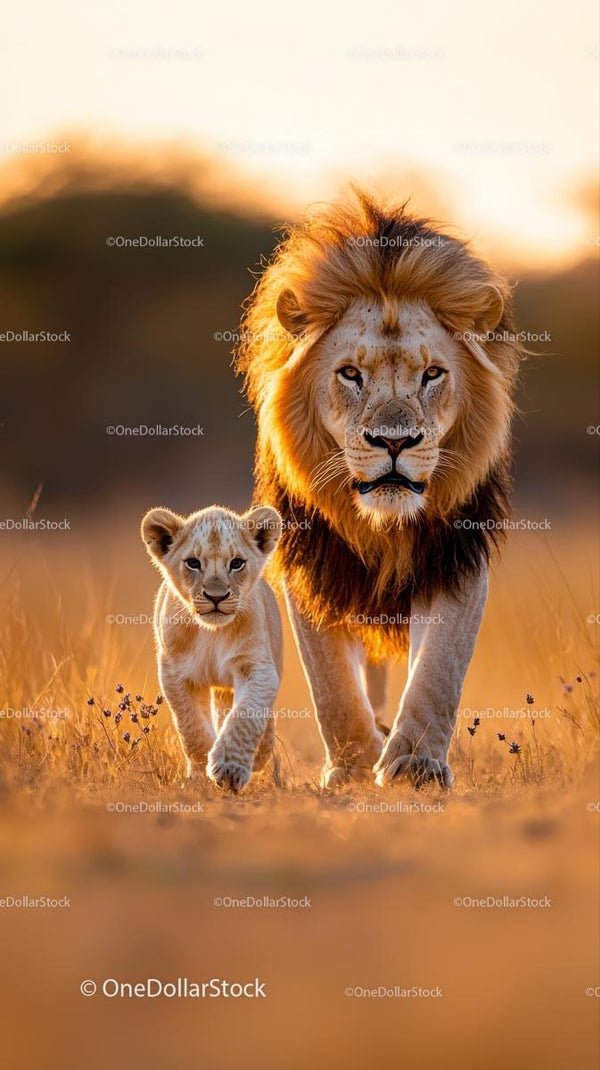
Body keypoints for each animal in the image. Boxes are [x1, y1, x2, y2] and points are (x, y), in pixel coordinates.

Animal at [141, 504, 283, 791]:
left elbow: (247, 713)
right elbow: (191, 726)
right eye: (193, 563)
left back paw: (261, 752)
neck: (212, 632)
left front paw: (230, 768)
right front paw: (201, 769)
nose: (216, 597)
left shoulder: (255, 665)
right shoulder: (175, 672)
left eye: (236, 563)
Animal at [236, 189, 522, 789]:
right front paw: (352, 765)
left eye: (432, 374)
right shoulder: (310, 565)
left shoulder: (455, 557)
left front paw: (413, 763)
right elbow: (331, 686)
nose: (395, 441)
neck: (383, 521)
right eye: (350, 374)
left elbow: (438, 670)